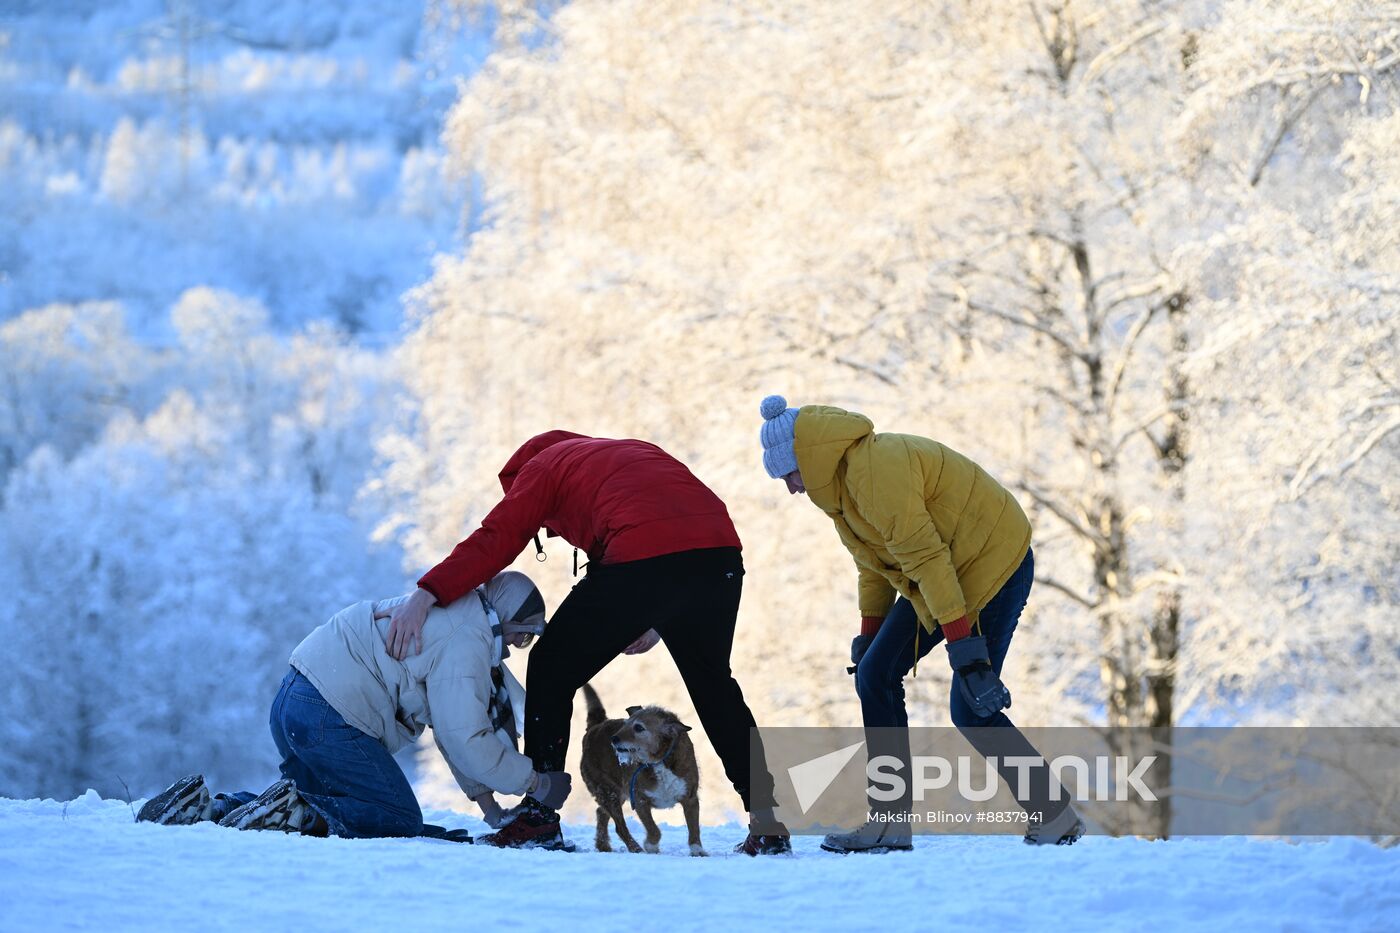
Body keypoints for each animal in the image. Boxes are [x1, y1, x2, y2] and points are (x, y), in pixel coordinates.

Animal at [576, 680, 705, 851]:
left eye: (638, 727)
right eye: (625, 724)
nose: (613, 739)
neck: (658, 760)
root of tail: (594, 727)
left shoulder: (690, 798)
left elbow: (694, 830)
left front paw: (698, 851)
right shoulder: (639, 800)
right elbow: (654, 830)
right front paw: (651, 845)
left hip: (617, 793)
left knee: (601, 812)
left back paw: (603, 845)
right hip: (607, 791)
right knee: (619, 826)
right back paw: (635, 848)